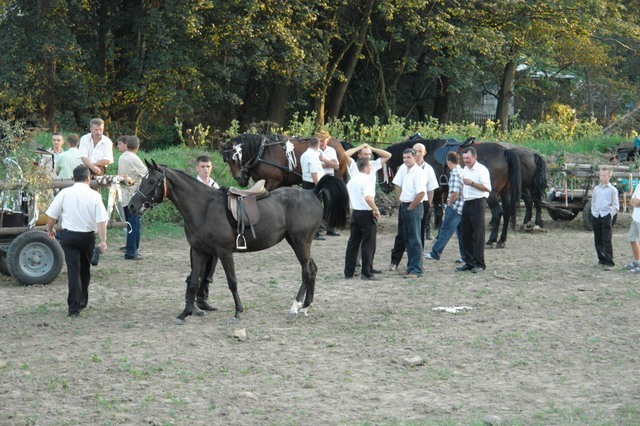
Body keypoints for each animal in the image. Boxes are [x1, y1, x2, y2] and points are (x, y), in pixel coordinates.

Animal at [128, 160, 350, 322]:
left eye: (151, 181)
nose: (131, 206)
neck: (204, 207)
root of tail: (313, 193)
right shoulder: (200, 252)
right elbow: (193, 282)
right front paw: (186, 313)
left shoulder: (224, 252)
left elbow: (232, 282)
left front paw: (238, 312)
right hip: (300, 243)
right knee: (312, 270)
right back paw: (305, 306)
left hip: (300, 243)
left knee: (307, 271)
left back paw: (297, 306)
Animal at [384, 138, 522, 248]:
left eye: (382, 167)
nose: (384, 187)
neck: (427, 155)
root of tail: (505, 152)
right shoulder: (441, 193)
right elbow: (439, 213)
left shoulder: (435, 191)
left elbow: (434, 212)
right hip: (504, 192)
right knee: (507, 213)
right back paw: (501, 240)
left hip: (491, 194)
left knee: (498, 213)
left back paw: (491, 240)